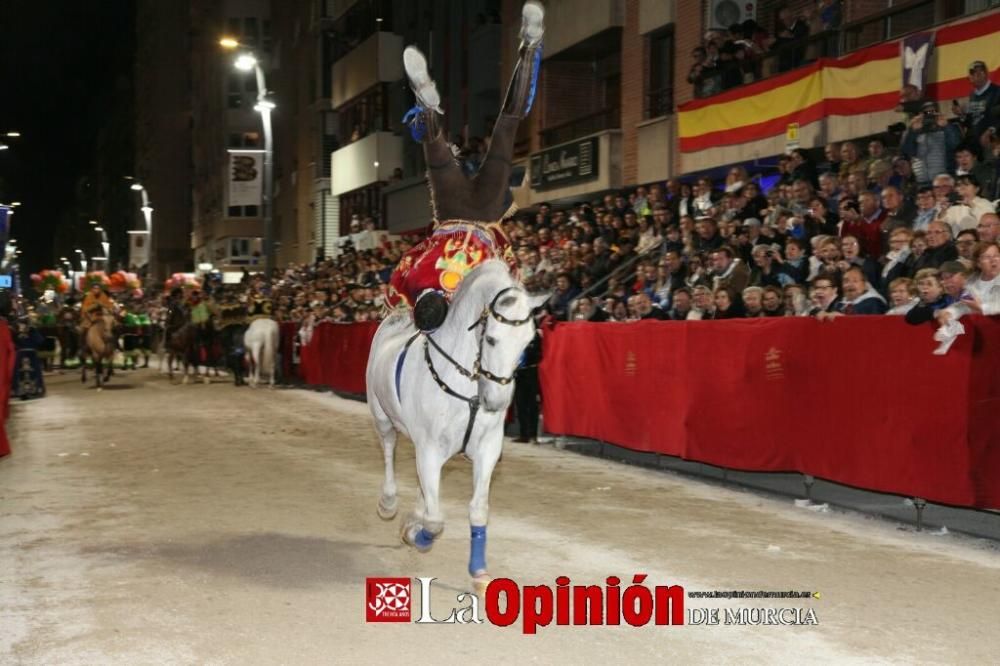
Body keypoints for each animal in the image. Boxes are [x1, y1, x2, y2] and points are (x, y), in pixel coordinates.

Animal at [368, 258, 548, 588]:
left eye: (528, 342)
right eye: (491, 338)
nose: (497, 401)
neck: (467, 387)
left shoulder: (487, 451)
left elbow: (477, 511)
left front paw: (479, 573)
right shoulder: (429, 450)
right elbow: (435, 521)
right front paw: (416, 535)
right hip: (382, 416)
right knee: (388, 449)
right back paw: (388, 504)